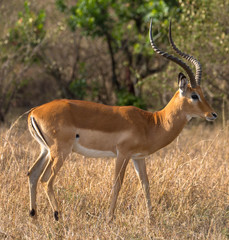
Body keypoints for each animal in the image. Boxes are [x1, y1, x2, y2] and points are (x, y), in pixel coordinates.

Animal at [27, 19, 217, 222]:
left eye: (202, 92)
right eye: (194, 95)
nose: (212, 114)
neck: (152, 122)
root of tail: (34, 112)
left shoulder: (138, 157)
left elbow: (145, 184)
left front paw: (151, 219)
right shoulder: (122, 154)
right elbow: (117, 184)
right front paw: (109, 218)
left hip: (46, 150)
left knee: (32, 174)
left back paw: (34, 216)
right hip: (60, 151)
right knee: (46, 180)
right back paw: (57, 215)